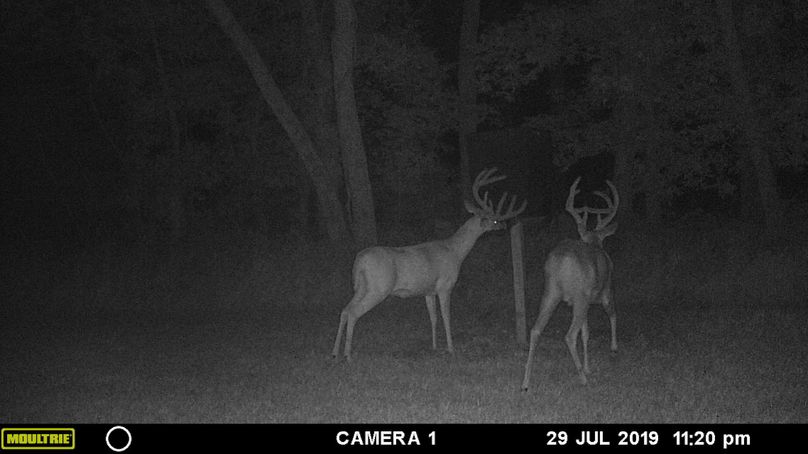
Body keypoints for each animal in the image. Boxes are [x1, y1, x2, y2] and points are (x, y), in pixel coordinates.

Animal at [332, 168, 527, 361]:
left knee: (344, 310)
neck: (455, 252)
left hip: (361, 286)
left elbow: (433, 317)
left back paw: (335, 352)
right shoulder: (445, 286)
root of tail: (359, 261)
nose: (503, 225)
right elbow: (446, 316)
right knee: (353, 312)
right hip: (378, 287)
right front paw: (451, 348)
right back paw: (348, 355)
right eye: (494, 220)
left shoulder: (428, 291)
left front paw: (434, 346)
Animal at [521, 177, 619, 389]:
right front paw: (613, 349)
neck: (594, 241)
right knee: (569, 335)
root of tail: (562, 260)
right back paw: (582, 378)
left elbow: (586, 332)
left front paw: (588, 367)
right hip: (579, 295)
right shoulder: (605, 291)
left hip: (550, 292)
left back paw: (525, 382)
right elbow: (612, 316)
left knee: (535, 330)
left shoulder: (583, 301)